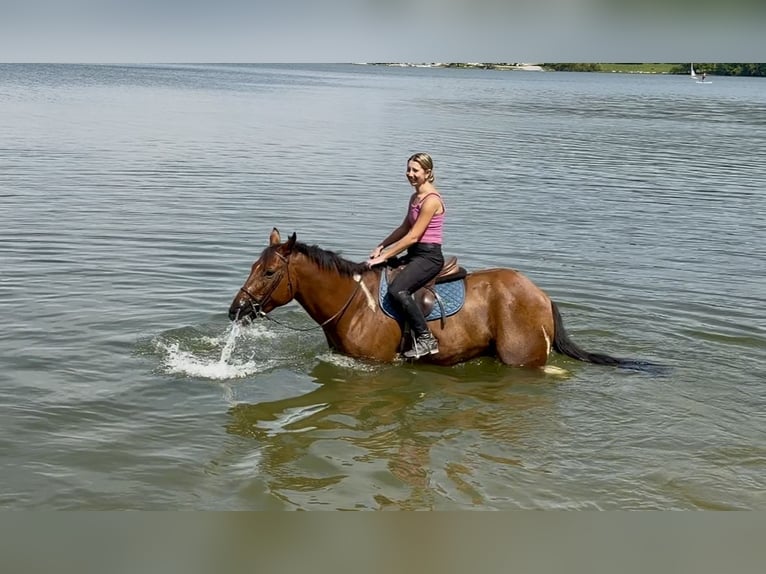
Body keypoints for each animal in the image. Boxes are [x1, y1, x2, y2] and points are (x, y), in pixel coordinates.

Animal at [228, 228, 651, 369]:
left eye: (269, 272)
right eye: (253, 266)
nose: (236, 309)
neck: (355, 303)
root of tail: (542, 296)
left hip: (521, 359)